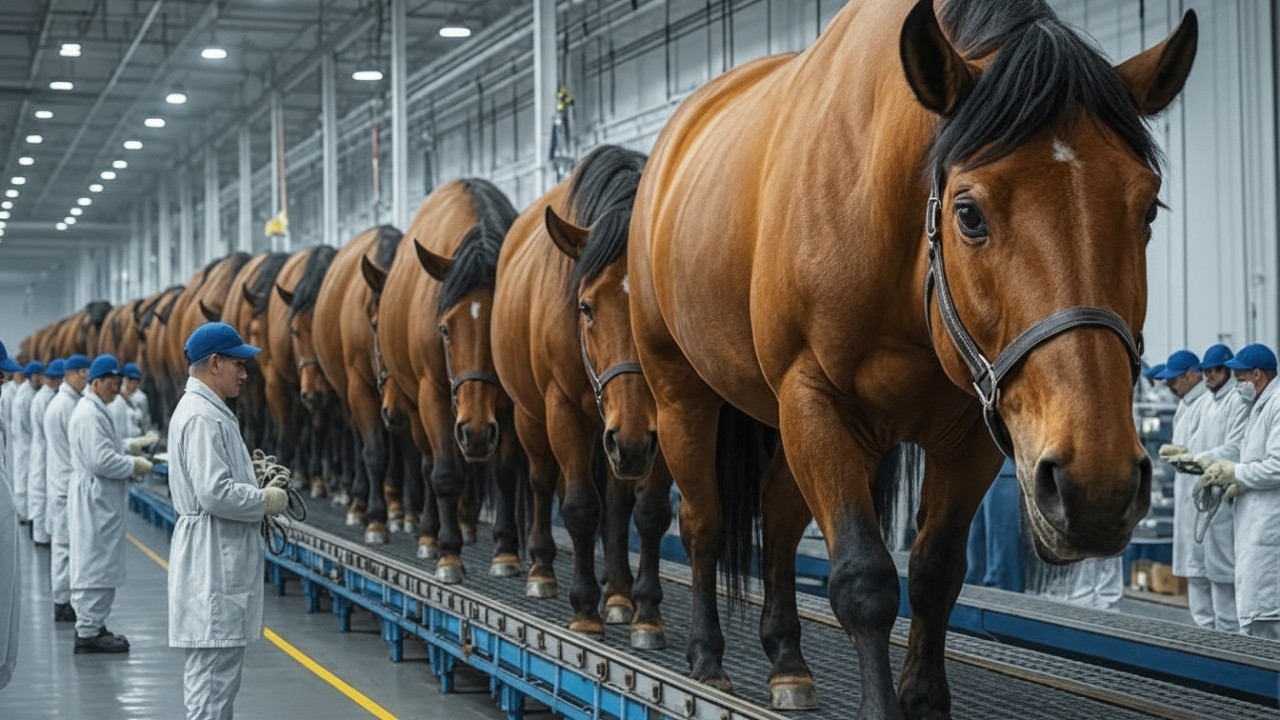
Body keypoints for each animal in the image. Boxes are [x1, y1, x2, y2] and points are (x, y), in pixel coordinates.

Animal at [362, 178, 518, 582]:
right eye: (444, 329)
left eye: (496, 329)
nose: (475, 432)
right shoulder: (431, 395)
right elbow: (444, 473)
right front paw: (448, 554)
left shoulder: (509, 408)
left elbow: (506, 474)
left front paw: (506, 552)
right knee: (429, 463)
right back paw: (431, 535)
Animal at [491, 145, 672, 647]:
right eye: (585, 307)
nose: (631, 440)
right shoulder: (564, 410)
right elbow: (578, 506)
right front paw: (585, 609)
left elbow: (647, 512)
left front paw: (644, 612)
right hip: (535, 418)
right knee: (540, 481)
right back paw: (541, 569)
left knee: (616, 501)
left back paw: (619, 592)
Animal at [626, 0, 1197, 716]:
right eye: (969, 213)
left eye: (1148, 208)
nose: (1097, 487)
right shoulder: (814, 399)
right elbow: (864, 580)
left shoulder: (976, 424)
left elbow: (935, 571)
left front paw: (923, 697)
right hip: (680, 391)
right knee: (702, 519)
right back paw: (701, 654)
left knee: (778, 521)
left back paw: (787, 662)